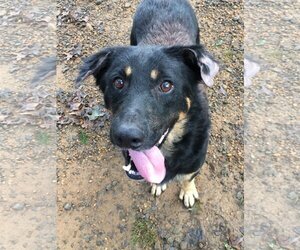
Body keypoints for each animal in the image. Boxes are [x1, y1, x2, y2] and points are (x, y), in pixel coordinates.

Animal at [76, 0, 219, 207]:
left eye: (166, 85)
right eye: (118, 82)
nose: (126, 137)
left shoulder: (195, 161)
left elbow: (188, 177)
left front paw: (188, 191)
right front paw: (159, 184)